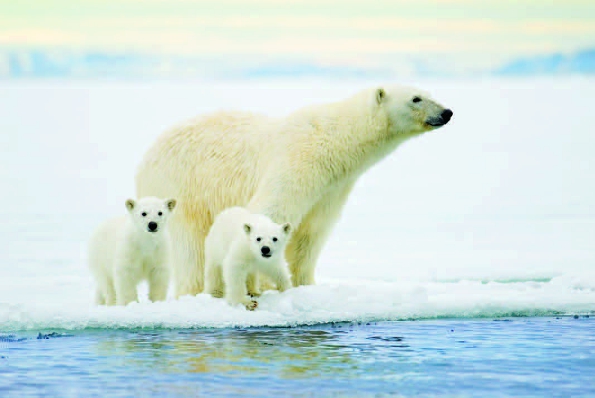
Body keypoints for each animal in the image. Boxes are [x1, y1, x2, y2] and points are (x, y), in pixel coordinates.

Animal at [135, 84, 452, 296]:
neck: (336, 141)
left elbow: (312, 233)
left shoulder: (333, 186)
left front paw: (306, 285)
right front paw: (264, 283)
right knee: (191, 246)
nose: (447, 112)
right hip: (182, 185)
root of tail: (146, 157)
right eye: (416, 98)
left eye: (429, 92)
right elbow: (271, 209)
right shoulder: (298, 159)